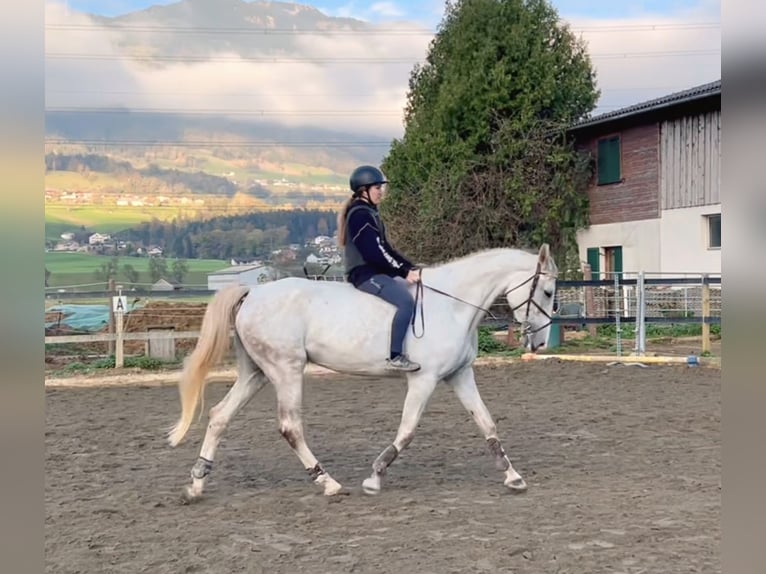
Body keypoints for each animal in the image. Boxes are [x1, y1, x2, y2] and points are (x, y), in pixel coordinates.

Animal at [168, 244, 560, 504]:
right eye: (547, 291)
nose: (539, 343)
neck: (452, 304)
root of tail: (253, 292)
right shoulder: (424, 379)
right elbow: (407, 430)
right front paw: (374, 477)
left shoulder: (459, 375)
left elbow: (487, 423)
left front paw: (513, 476)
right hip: (286, 369)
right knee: (290, 427)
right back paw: (327, 482)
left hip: (257, 373)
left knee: (220, 416)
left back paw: (196, 484)